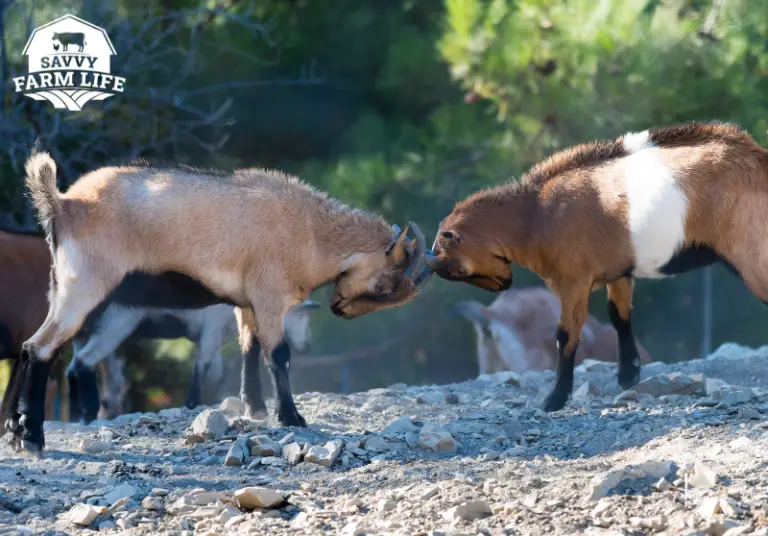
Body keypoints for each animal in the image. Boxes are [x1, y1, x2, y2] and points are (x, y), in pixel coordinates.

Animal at [68, 299, 319, 423]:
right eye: (300, 315)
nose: (308, 345)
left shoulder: (214, 340)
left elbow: (217, 372)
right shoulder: (210, 332)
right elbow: (201, 366)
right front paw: (192, 403)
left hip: (86, 333)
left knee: (73, 368)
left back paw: (76, 413)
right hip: (114, 326)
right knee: (84, 363)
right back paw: (88, 413)